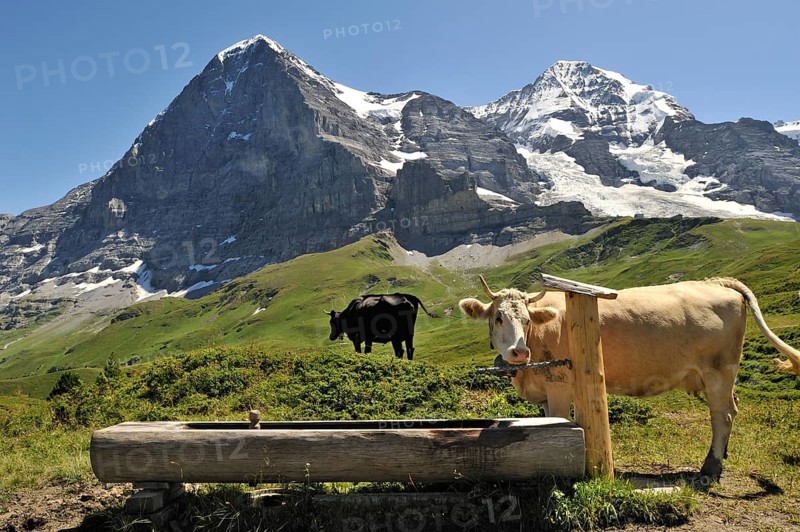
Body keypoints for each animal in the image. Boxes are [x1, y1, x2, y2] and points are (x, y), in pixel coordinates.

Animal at [459, 276, 800, 482]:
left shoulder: (558, 386)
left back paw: (710, 468)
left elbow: (560, 422)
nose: (519, 352)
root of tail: (716, 282)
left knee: (723, 414)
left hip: (719, 370)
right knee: (732, 408)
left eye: (527, 319)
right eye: (498, 317)